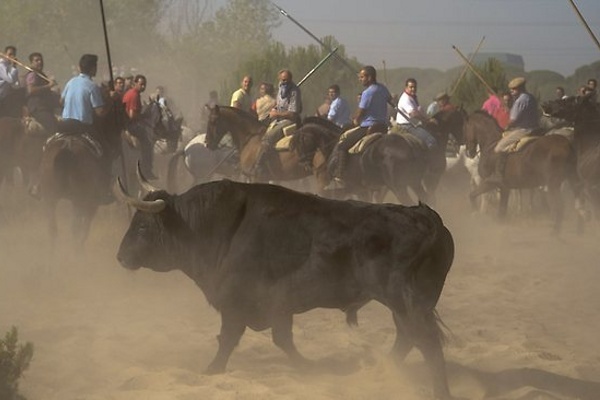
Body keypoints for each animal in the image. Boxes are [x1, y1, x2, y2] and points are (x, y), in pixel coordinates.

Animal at [116, 180, 454, 398]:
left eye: (143, 226)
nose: (120, 257)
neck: (214, 228)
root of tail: (427, 218)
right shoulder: (278, 306)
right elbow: (283, 340)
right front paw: (309, 367)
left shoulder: (237, 304)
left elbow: (228, 339)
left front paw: (211, 369)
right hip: (404, 305)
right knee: (407, 338)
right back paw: (380, 372)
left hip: (405, 301)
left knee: (426, 342)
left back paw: (438, 390)